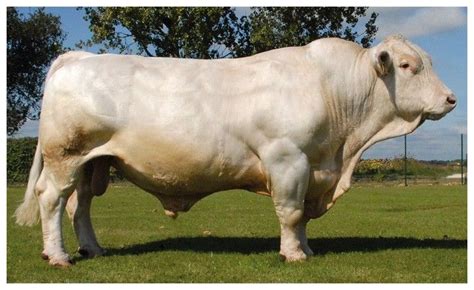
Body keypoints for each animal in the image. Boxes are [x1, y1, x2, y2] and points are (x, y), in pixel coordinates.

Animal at [15, 34, 456, 266]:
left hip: (94, 163)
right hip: (65, 155)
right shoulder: (287, 159)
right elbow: (290, 212)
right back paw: (58, 256)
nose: (451, 99)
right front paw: (293, 255)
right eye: (407, 66)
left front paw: (306, 248)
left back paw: (93, 247)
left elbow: (301, 217)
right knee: (52, 199)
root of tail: (79, 57)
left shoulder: (312, 169)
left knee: (81, 205)